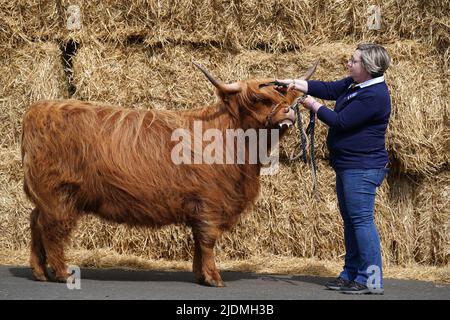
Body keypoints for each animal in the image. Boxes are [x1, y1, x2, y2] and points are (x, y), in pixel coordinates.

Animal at [20, 61, 316, 286]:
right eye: (258, 99)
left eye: (287, 98)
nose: (288, 112)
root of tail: (38, 109)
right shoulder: (210, 203)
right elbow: (207, 241)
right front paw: (214, 278)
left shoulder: (200, 207)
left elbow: (198, 243)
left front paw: (200, 275)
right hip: (58, 194)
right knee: (52, 230)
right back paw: (61, 273)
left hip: (47, 197)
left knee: (35, 222)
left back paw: (39, 272)